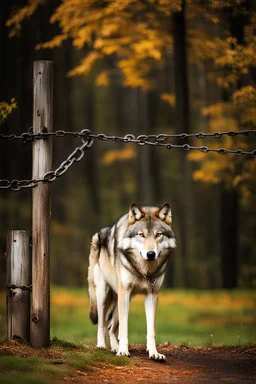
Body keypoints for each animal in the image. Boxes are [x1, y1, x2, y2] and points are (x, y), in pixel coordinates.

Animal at [88, 204, 176, 360]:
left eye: (158, 234)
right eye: (141, 235)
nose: (150, 254)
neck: (145, 271)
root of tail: (100, 233)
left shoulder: (152, 294)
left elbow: (151, 330)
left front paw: (154, 353)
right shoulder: (125, 291)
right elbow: (124, 328)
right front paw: (123, 351)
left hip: (121, 301)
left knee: (110, 327)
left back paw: (114, 348)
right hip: (104, 296)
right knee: (102, 324)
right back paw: (102, 346)